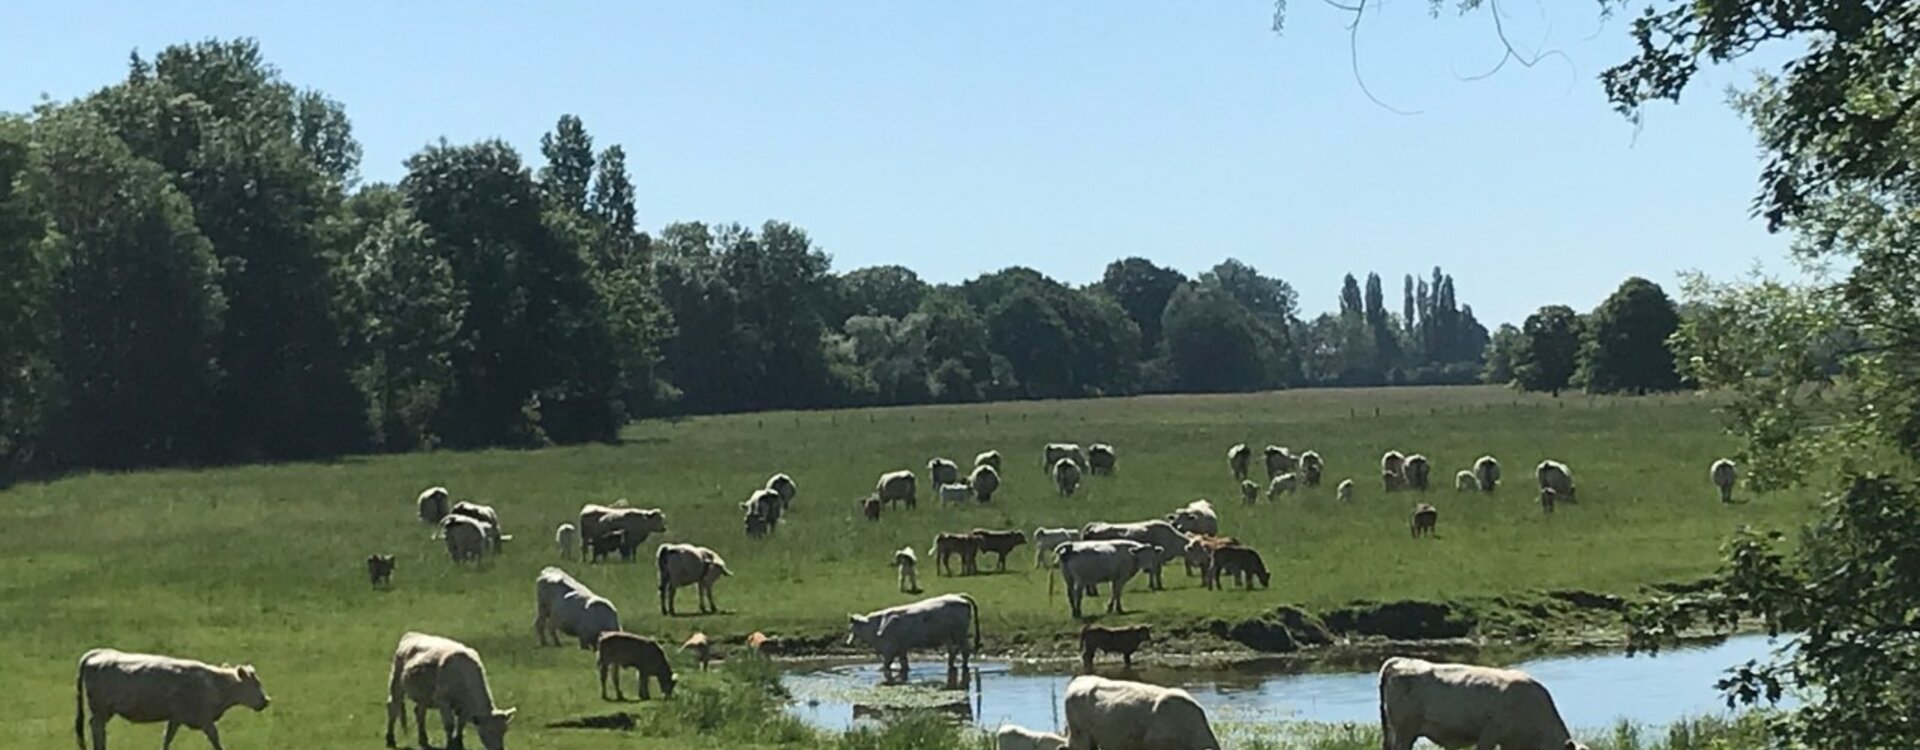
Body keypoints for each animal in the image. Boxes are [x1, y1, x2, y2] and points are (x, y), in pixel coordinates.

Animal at [76, 648, 270, 750]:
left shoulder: (175, 718)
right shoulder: (205, 719)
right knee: (96, 727)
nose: (266, 700)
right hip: (101, 710)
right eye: (255, 684)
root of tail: (99, 653)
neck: (213, 683)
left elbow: (167, 738)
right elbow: (215, 740)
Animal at [382, 632, 514, 750]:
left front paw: (459, 743)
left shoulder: (464, 707)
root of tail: (411, 634)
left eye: (504, 730)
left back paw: (423, 740)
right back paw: (390, 740)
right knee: (393, 708)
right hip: (396, 683)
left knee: (419, 713)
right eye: (489, 731)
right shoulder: (443, 701)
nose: (499, 749)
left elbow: (461, 724)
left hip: (423, 695)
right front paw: (450, 745)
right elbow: (450, 725)